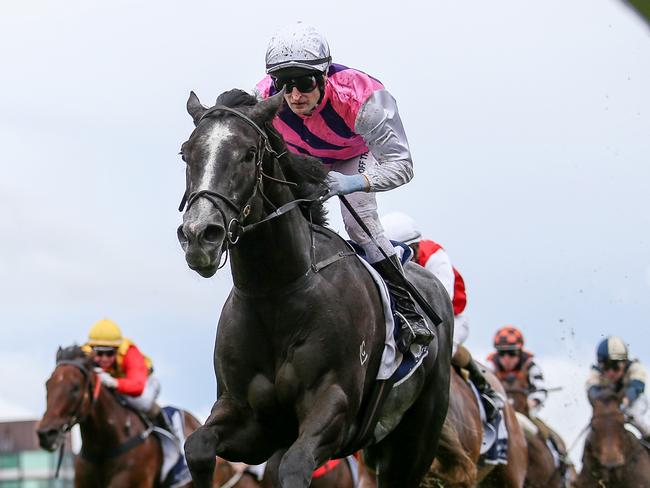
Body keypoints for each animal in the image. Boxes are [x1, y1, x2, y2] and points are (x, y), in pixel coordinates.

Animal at [175, 89, 454, 486]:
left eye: (248, 153)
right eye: (186, 152)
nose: (200, 236)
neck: (275, 291)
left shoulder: (333, 406)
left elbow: (295, 466)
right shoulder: (250, 420)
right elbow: (198, 446)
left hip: (417, 437)